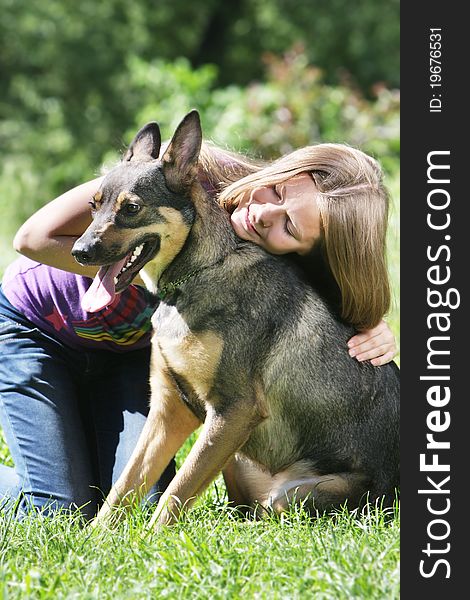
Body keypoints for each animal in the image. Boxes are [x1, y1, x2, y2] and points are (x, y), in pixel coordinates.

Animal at [71, 110, 398, 528]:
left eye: (131, 208)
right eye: (93, 205)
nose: (80, 251)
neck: (201, 272)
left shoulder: (234, 410)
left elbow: (174, 493)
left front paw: (151, 539)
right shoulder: (169, 409)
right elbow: (125, 486)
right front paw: (97, 537)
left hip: (287, 492)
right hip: (241, 459)